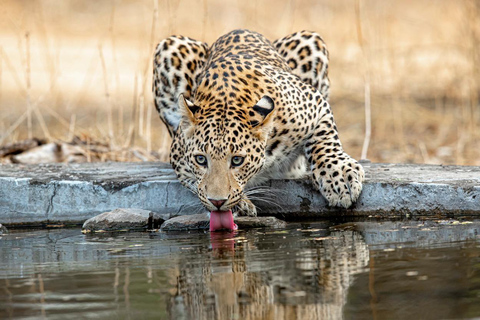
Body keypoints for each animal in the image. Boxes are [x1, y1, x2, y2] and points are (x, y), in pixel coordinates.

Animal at [153, 29, 364, 230]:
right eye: (201, 159)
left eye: (237, 160)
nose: (217, 202)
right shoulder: (178, 158)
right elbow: (196, 183)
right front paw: (240, 204)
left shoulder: (315, 102)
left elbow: (324, 140)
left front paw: (340, 177)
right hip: (169, 45)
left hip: (310, 40)